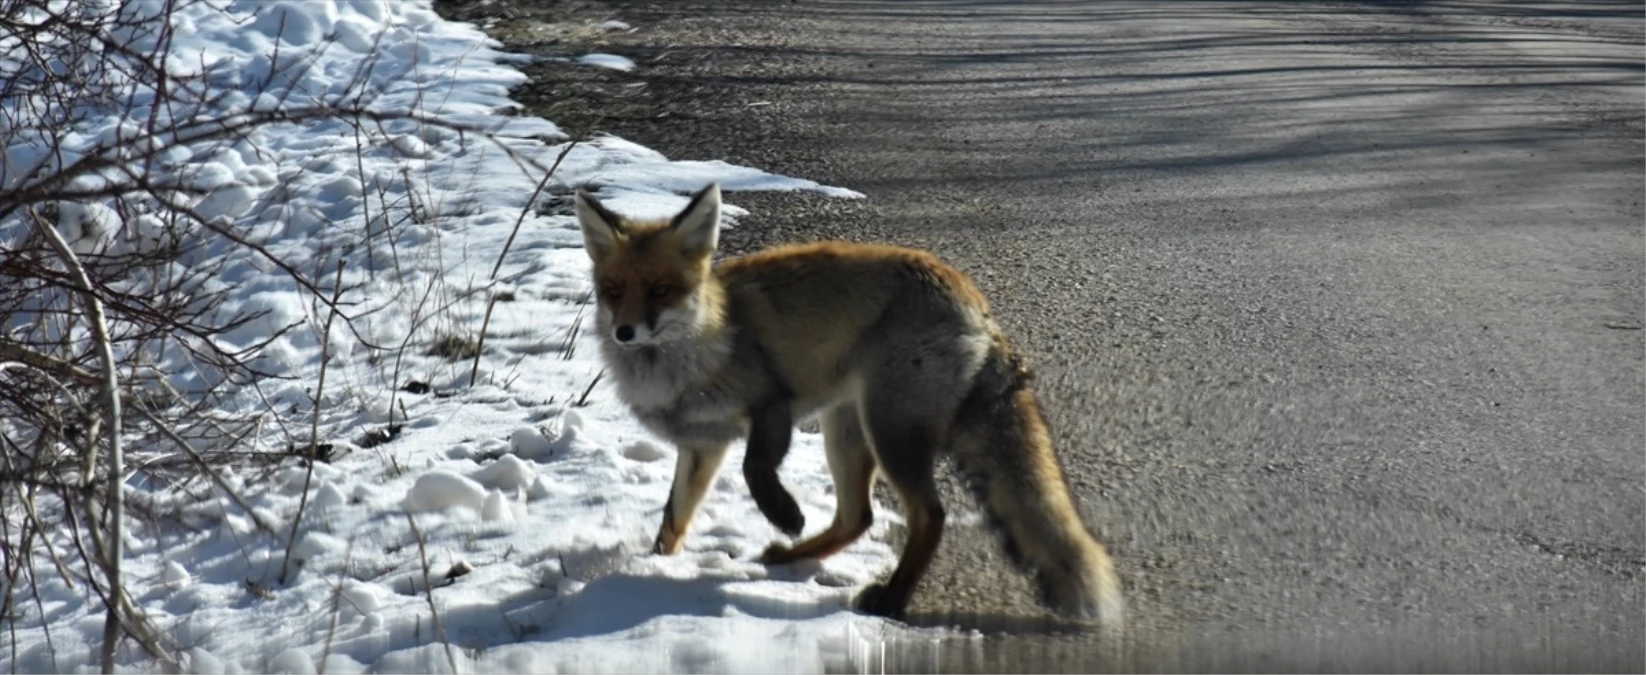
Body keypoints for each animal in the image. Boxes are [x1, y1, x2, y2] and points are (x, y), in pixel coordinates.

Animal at [572, 181, 1125, 625]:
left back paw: (891, 599)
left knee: (929, 516)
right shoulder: (702, 445)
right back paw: (793, 556)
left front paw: (785, 512)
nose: (625, 332)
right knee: (857, 517)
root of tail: (976, 303)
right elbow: (673, 518)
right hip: (846, 428)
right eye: (613, 291)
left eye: (661, 291)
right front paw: (653, 564)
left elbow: (755, 468)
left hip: (888, 431)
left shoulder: (770, 403)